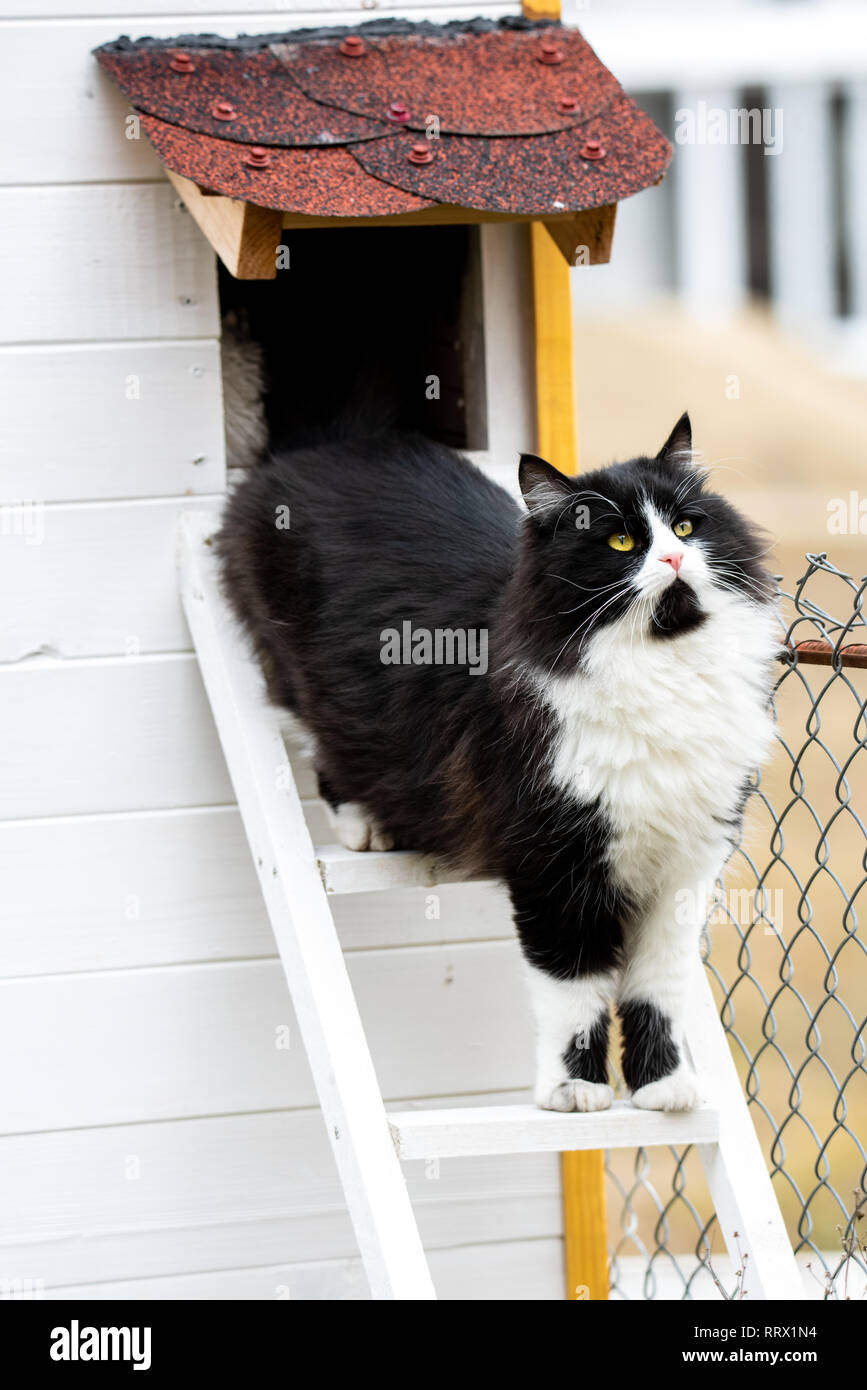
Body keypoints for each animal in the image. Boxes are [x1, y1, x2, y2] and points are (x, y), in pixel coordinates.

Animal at [218, 417, 778, 1112]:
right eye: (621, 541)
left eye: (684, 527)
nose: (674, 559)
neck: (659, 672)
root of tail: (331, 444)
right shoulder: (554, 865)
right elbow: (573, 988)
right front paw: (574, 1090)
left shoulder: (685, 868)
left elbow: (657, 988)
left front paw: (663, 1086)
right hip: (310, 683)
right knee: (324, 744)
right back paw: (366, 828)